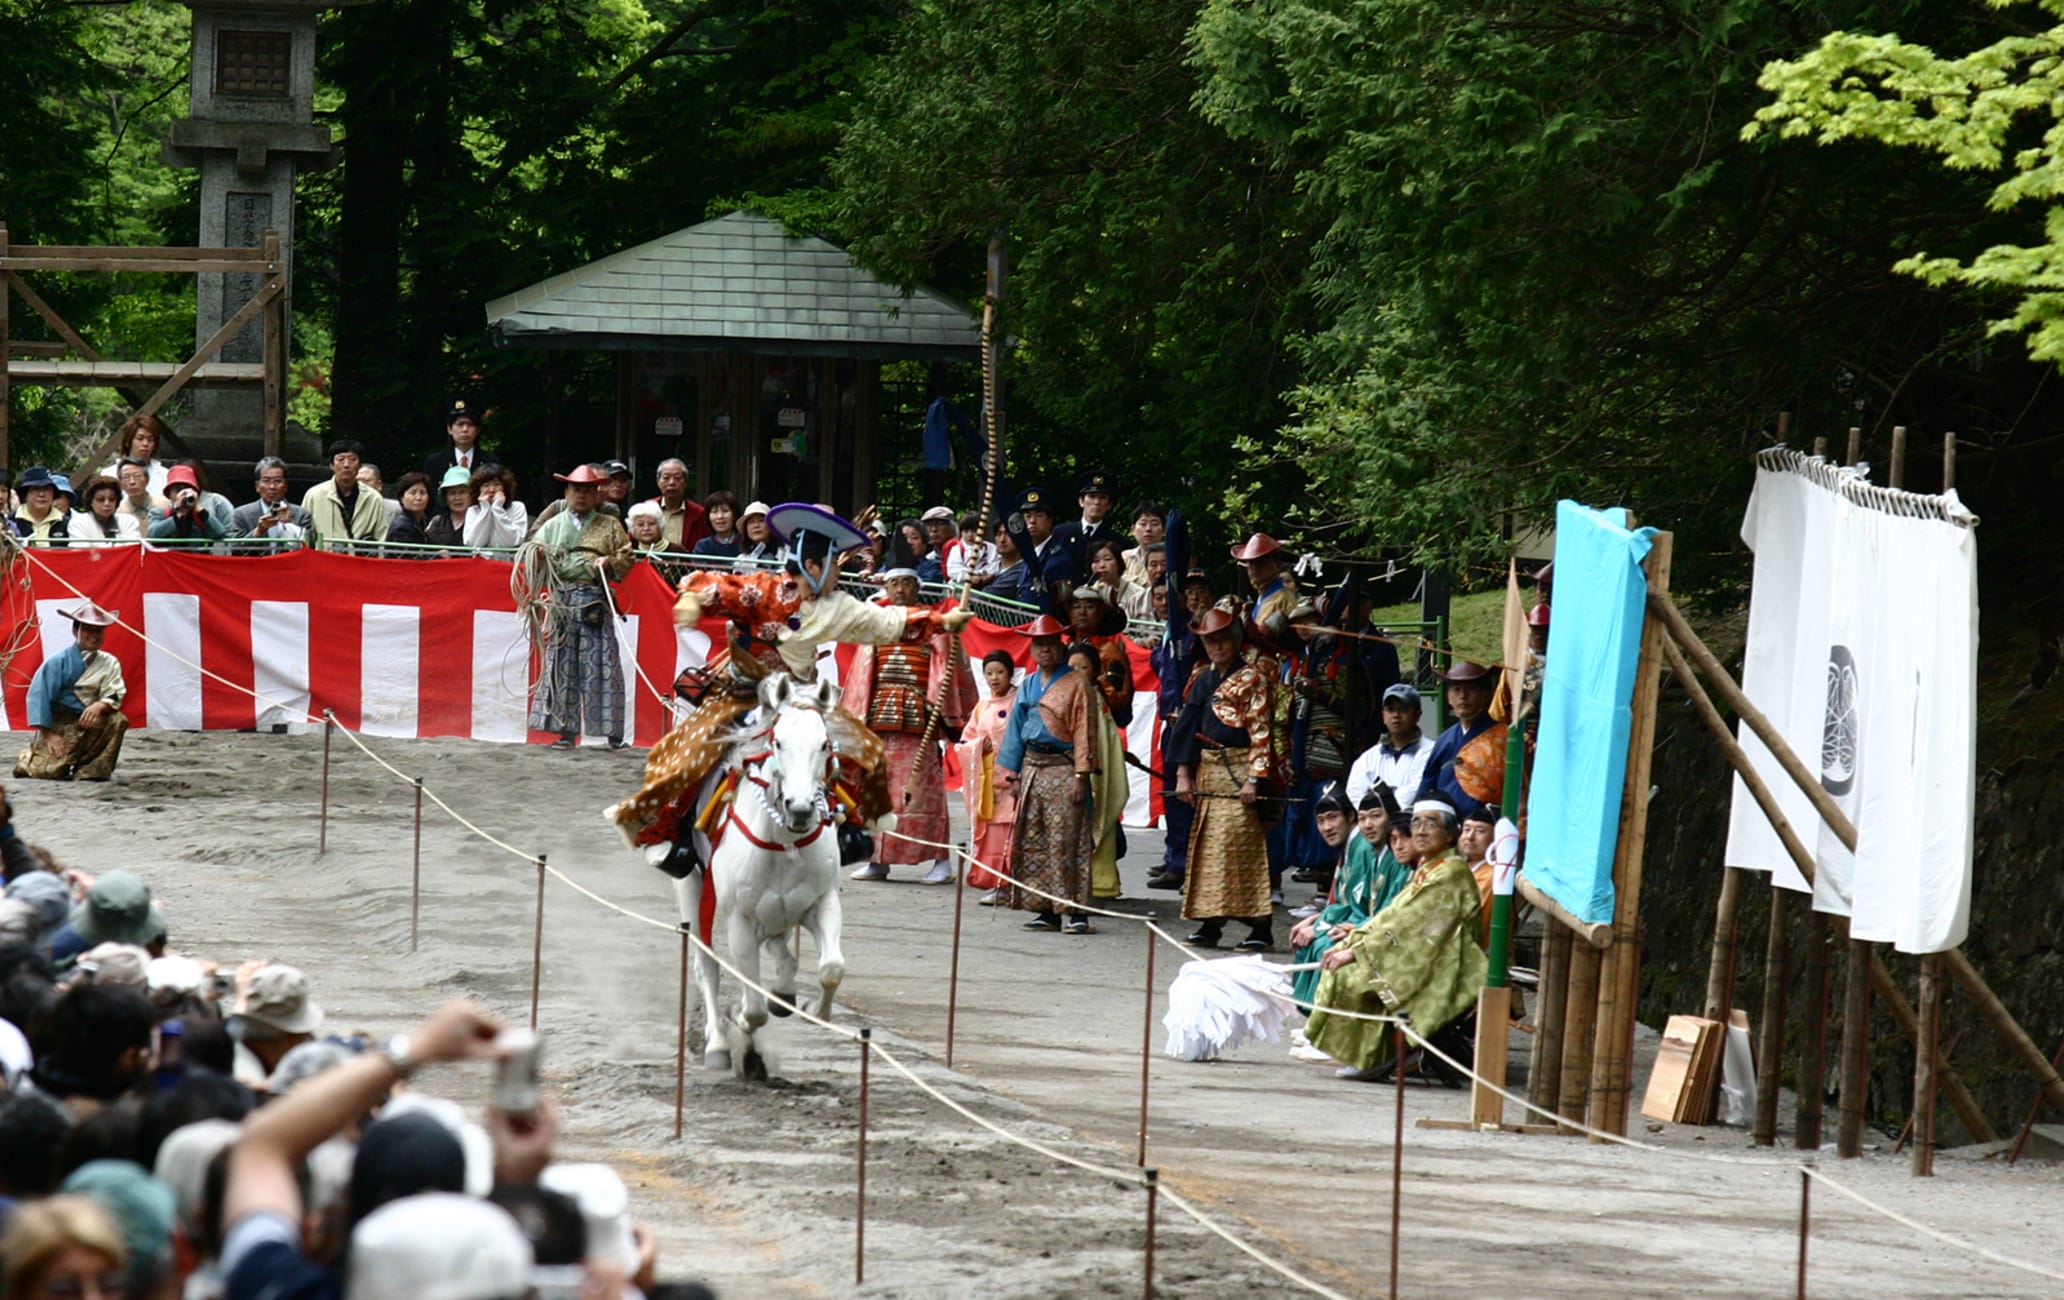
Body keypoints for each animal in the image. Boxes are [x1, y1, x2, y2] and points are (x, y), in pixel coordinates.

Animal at [681, 672, 850, 1081]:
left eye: (824, 744)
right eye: (778, 741)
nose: (801, 808)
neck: (783, 841)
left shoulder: (821, 902)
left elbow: (831, 969)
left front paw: (814, 1010)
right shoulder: (739, 918)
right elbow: (753, 1005)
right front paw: (739, 1017)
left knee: (780, 949)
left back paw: (785, 995)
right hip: (692, 890)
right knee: (707, 966)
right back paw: (719, 1044)